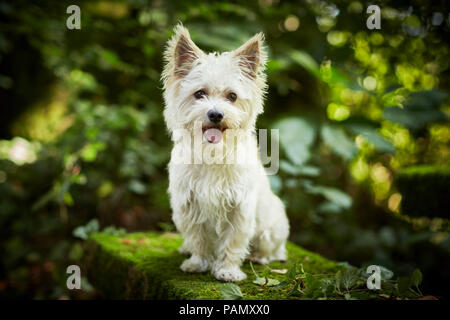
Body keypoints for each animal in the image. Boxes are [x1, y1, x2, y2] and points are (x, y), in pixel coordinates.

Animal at [161, 23, 288, 282]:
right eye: (199, 94)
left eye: (232, 96)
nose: (216, 114)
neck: (212, 153)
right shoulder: (189, 205)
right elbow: (198, 238)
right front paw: (198, 263)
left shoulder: (239, 208)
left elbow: (232, 242)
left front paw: (227, 270)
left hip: (272, 228)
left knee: (272, 249)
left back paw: (259, 257)